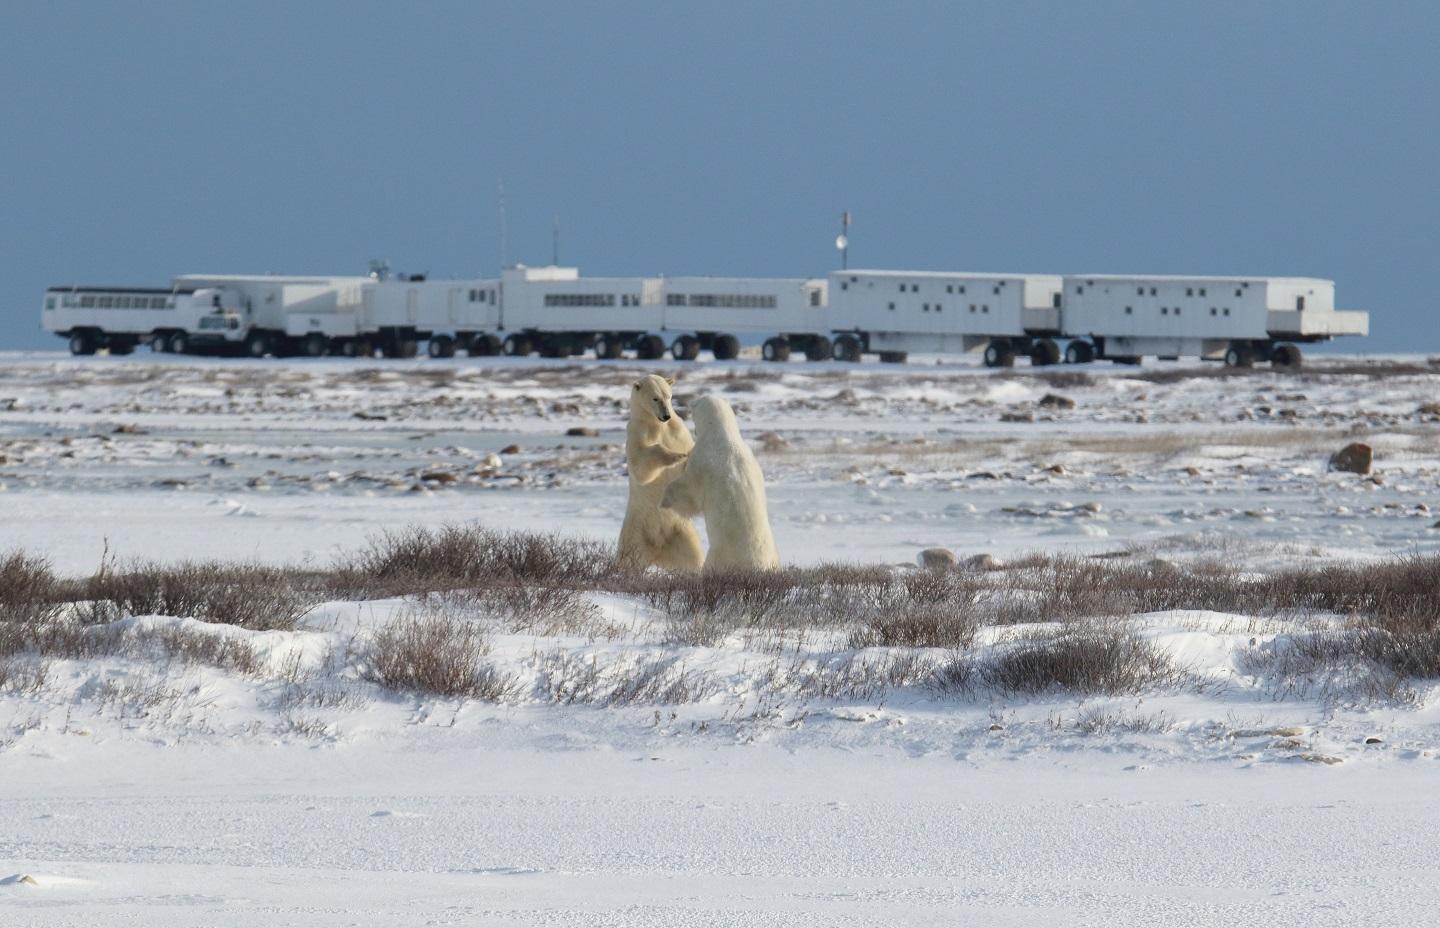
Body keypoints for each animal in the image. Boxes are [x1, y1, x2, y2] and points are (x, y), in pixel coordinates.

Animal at [613, 374, 702, 567]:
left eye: (668, 396)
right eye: (655, 398)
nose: (666, 415)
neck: (656, 423)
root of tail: (658, 551)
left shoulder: (678, 432)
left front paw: (686, 456)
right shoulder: (636, 432)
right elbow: (641, 467)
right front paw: (676, 456)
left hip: (681, 531)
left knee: (693, 559)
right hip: (635, 534)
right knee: (627, 561)